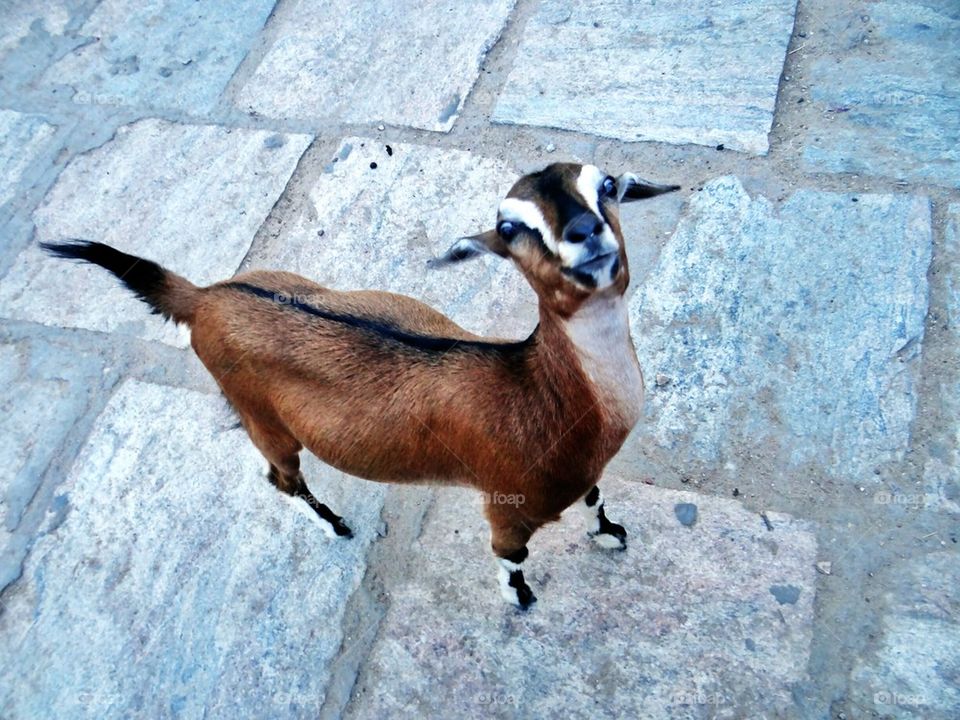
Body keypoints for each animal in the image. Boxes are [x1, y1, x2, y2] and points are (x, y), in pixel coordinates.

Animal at [43, 163, 678, 608]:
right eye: (509, 227)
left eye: (608, 185)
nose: (584, 231)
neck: (536, 390)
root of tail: (203, 298)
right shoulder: (507, 504)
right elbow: (510, 557)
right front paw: (521, 601)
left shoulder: (584, 475)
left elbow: (596, 500)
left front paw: (610, 534)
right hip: (262, 419)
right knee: (279, 477)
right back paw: (336, 525)